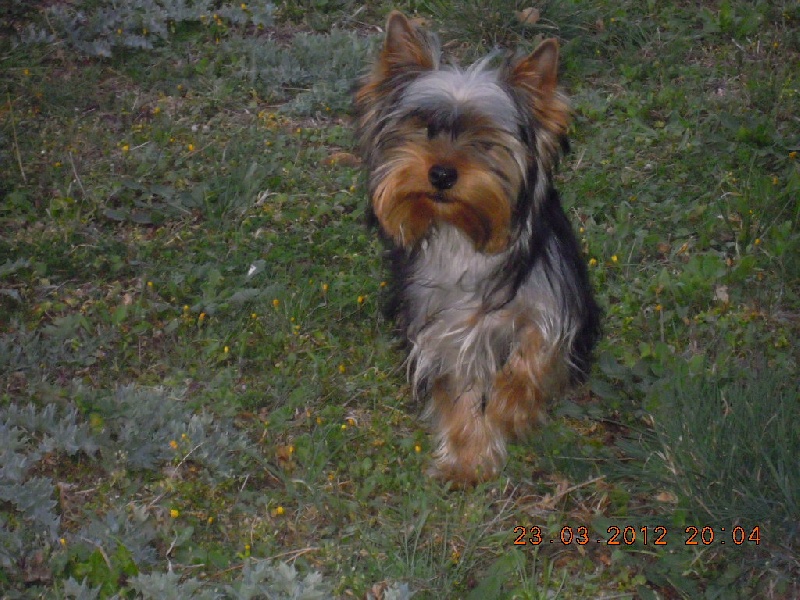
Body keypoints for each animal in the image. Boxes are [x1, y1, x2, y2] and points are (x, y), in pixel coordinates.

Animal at [354, 11, 596, 486]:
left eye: (484, 141)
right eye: (425, 129)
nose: (442, 174)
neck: (461, 234)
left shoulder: (551, 299)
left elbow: (536, 349)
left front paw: (510, 406)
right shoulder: (442, 328)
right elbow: (459, 390)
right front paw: (467, 459)